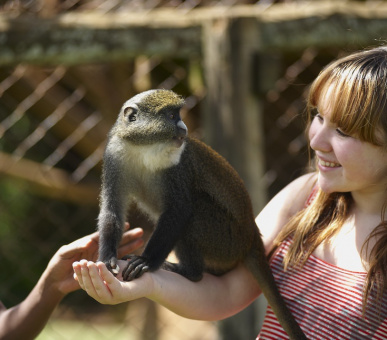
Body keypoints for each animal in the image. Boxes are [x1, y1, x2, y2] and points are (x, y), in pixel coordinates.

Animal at [97, 89, 306, 338]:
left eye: (178, 114)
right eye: (171, 116)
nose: (184, 128)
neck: (143, 150)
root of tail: (252, 236)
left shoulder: (178, 168)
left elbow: (180, 209)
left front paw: (146, 261)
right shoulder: (114, 157)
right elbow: (112, 209)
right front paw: (107, 257)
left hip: (226, 240)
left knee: (194, 213)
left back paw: (189, 272)